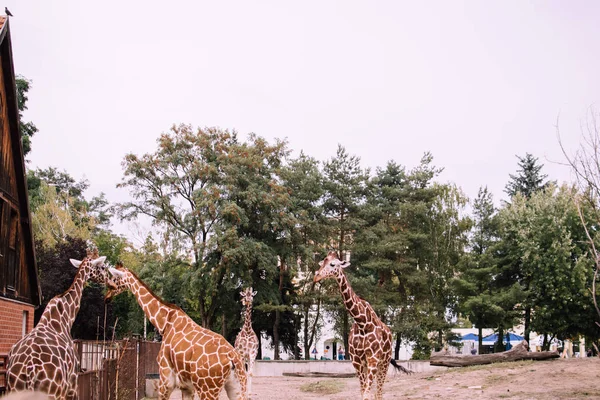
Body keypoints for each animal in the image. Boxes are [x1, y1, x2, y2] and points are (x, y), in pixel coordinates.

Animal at [6, 250, 109, 396]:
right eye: (103, 267)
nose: (109, 278)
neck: (64, 318)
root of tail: (30, 370)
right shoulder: (72, 384)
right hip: (53, 391)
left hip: (15, 388)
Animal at [106, 264, 248, 398]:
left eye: (113, 279)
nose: (107, 297)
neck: (164, 323)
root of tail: (232, 358)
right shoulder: (187, 387)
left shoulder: (165, 380)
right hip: (237, 386)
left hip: (207, 388)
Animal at [314, 252, 408, 398]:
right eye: (322, 262)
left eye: (333, 264)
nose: (316, 276)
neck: (362, 322)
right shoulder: (357, 361)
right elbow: (363, 392)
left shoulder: (373, 359)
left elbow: (367, 394)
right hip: (368, 364)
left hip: (384, 362)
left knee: (379, 392)